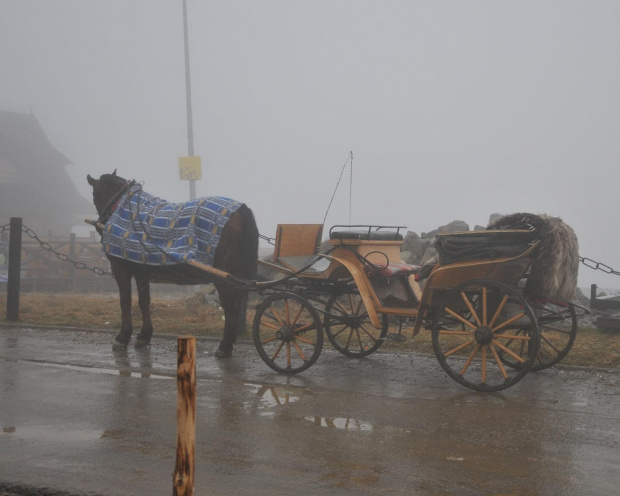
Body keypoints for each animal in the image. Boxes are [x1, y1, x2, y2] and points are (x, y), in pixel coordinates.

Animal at [86, 170, 258, 356]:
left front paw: (123, 336)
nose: (99, 221)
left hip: (222, 275)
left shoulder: (121, 268)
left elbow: (125, 301)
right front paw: (144, 335)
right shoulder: (140, 270)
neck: (123, 207)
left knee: (230, 305)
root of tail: (240, 210)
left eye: (95, 195)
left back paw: (225, 345)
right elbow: (144, 301)